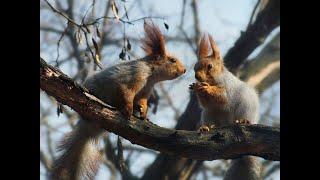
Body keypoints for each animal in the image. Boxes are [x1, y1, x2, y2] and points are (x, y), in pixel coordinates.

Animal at [49, 21, 185, 180]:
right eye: (172, 60)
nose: (184, 70)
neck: (151, 75)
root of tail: (87, 130)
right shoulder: (133, 76)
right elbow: (126, 93)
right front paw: (128, 111)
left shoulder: (145, 92)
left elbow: (142, 102)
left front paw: (144, 115)